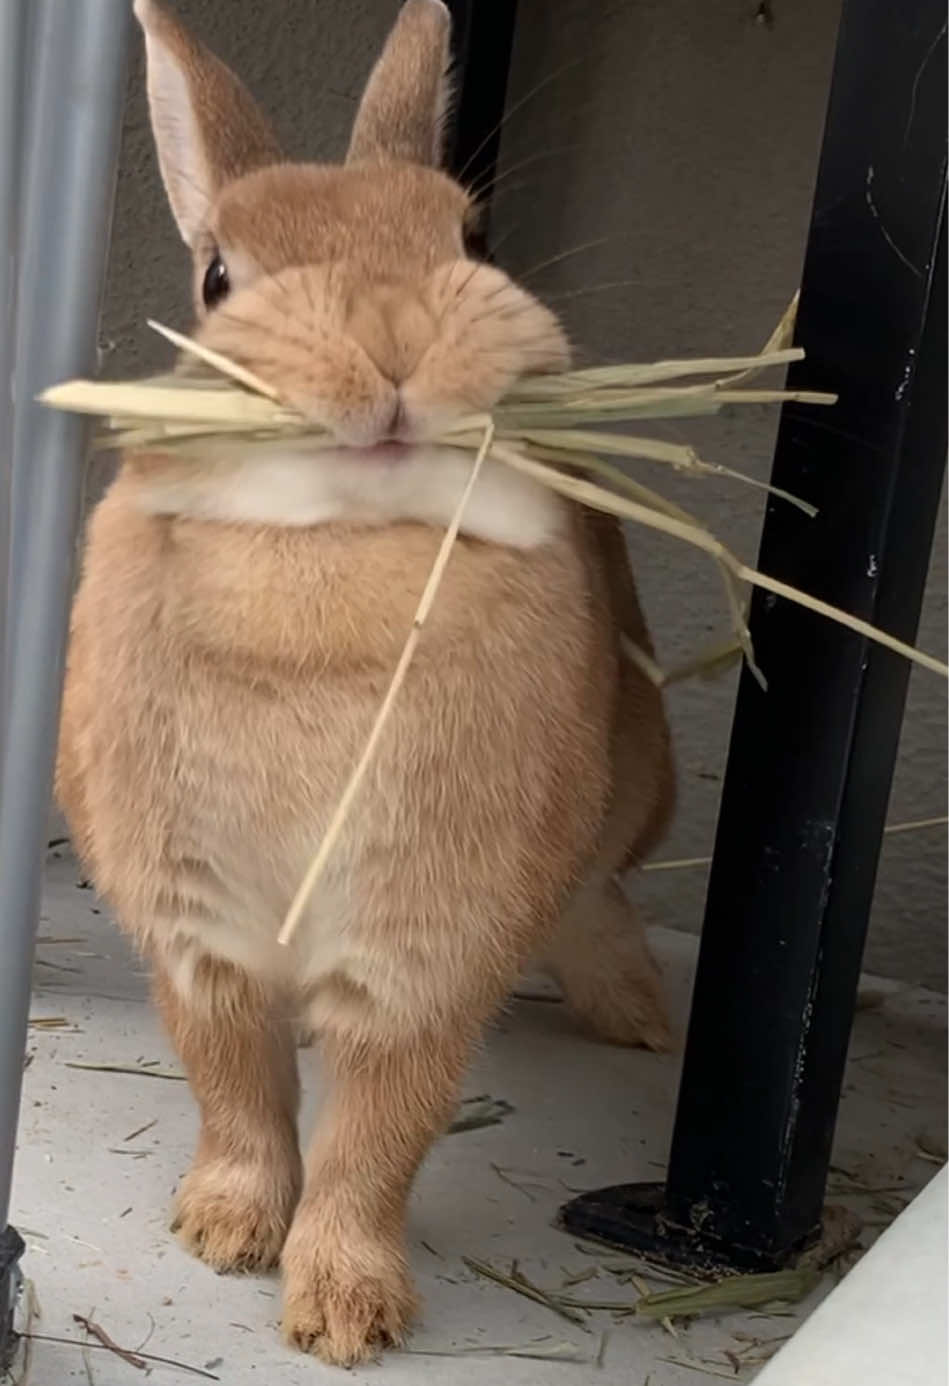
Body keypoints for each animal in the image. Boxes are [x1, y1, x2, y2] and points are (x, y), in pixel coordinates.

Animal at [56, 0, 675, 1365]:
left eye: (470, 236)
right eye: (218, 278)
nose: (393, 341)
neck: (333, 557)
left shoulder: (426, 949)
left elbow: (374, 1139)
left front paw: (343, 1314)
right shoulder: (198, 935)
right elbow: (238, 1094)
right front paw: (226, 1233)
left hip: (630, 789)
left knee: (599, 896)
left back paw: (641, 1018)